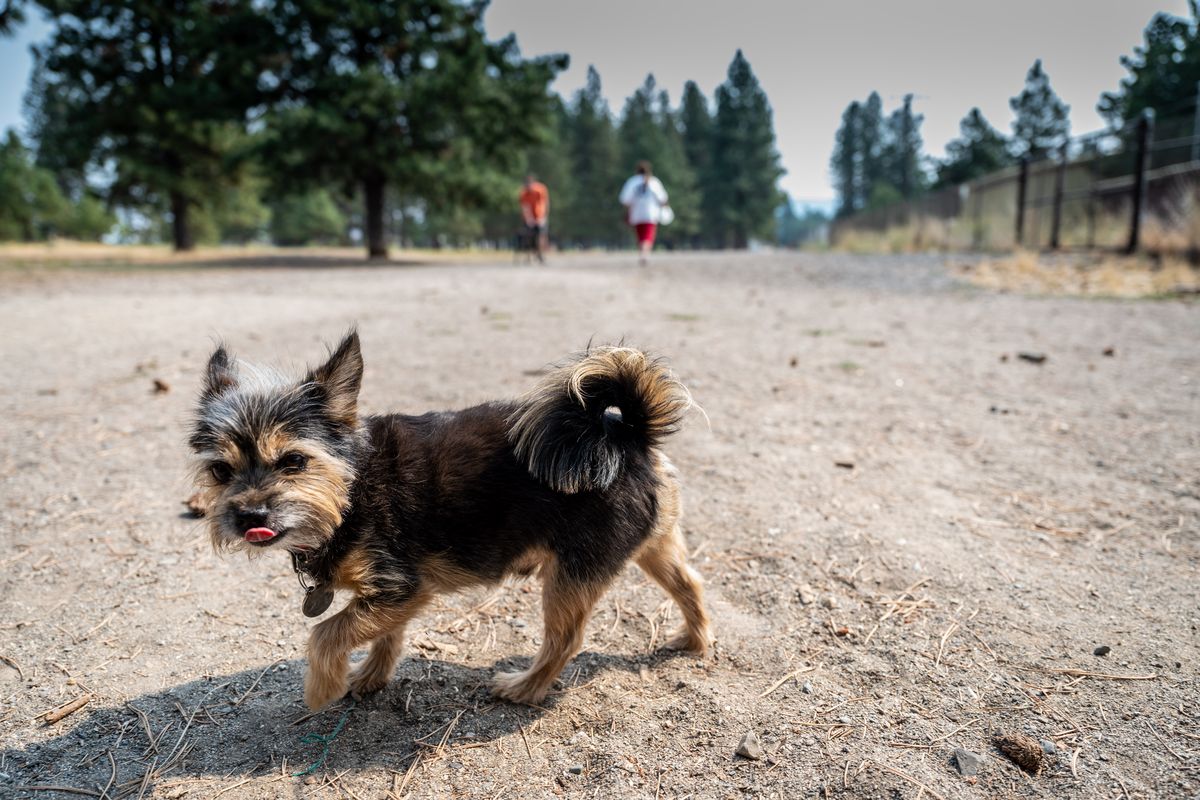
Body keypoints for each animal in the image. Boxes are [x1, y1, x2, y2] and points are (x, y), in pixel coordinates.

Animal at [188, 335, 710, 710]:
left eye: (294, 461)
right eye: (220, 471)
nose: (249, 516)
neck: (352, 487)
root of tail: (629, 436)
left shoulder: (403, 586)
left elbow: (326, 633)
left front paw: (322, 689)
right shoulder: (388, 597)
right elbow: (384, 634)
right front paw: (371, 676)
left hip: (572, 572)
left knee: (566, 638)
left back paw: (524, 687)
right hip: (653, 545)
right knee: (690, 584)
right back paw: (695, 639)